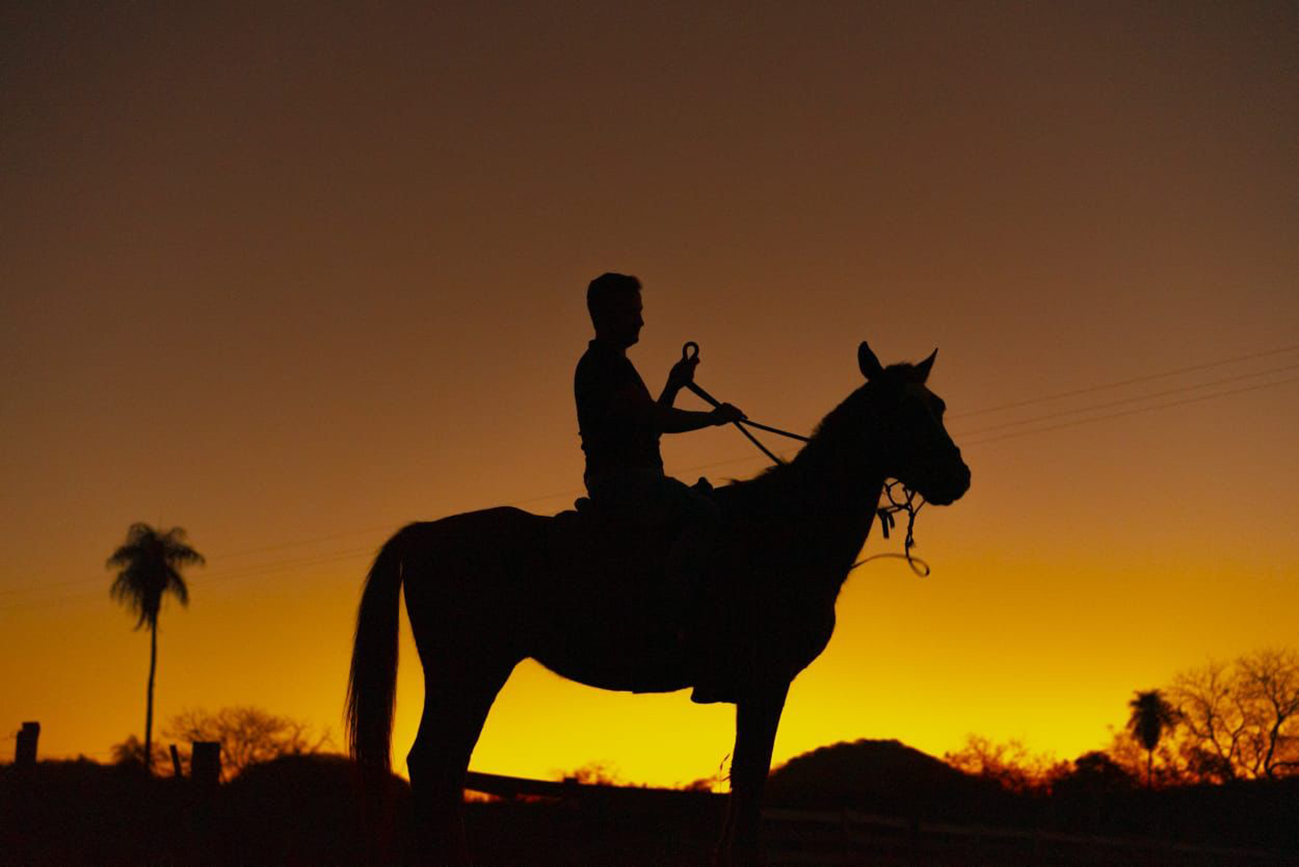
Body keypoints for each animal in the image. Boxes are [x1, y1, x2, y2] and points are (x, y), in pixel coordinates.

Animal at [350, 337, 971, 863]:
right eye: (904, 411)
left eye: (938, 405)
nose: (958, 477)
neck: (782, 528)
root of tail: (424, 532)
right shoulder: (767, 681)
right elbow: (751, 783)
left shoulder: (761, 686)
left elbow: (745, 785)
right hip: (468, 671)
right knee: (435, 764)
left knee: (444, 768)